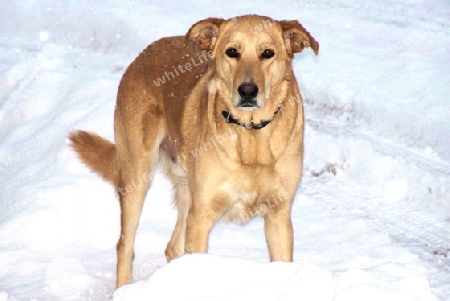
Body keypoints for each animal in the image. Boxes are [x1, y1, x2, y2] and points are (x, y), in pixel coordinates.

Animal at [68, 14, 318, 286]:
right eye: (232, 52)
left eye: (268, 53)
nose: (247, 91)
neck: (250, 135)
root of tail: (146, 51)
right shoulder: (201, 217)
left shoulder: (278, 217)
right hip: (137, 176)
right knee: (125, 245)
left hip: (186, 191)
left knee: (173, 248)